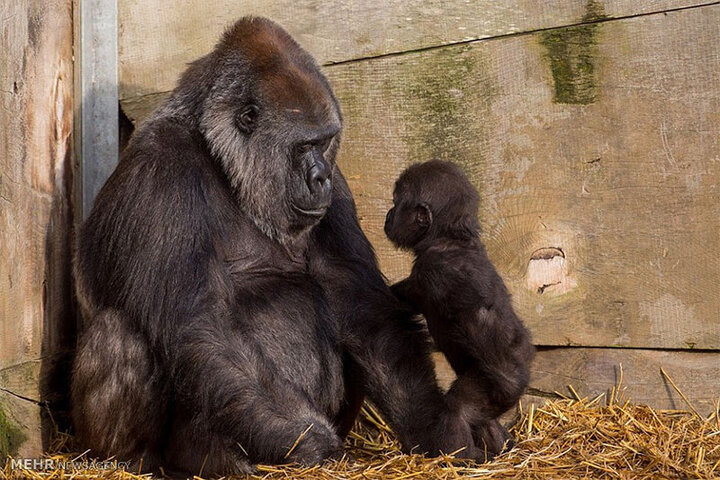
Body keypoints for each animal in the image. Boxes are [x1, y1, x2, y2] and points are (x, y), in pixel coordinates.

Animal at [71, 15, 478, 476]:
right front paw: (308, 444)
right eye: (303, 146)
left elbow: (362, 306)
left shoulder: (337, 190)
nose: (319, 177)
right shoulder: (159, 174)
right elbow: (199, 324)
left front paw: (433, 425)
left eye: (324, 141)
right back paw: (135, 460)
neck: (219, 158)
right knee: (120, 333)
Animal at [388, 160, 536, 458]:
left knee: (459, 409)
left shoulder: (438, 270)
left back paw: (458, 458)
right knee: (482, 418)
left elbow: (477, 319)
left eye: (396, 203)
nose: (388, 214)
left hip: (491, 379)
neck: (449, 238)